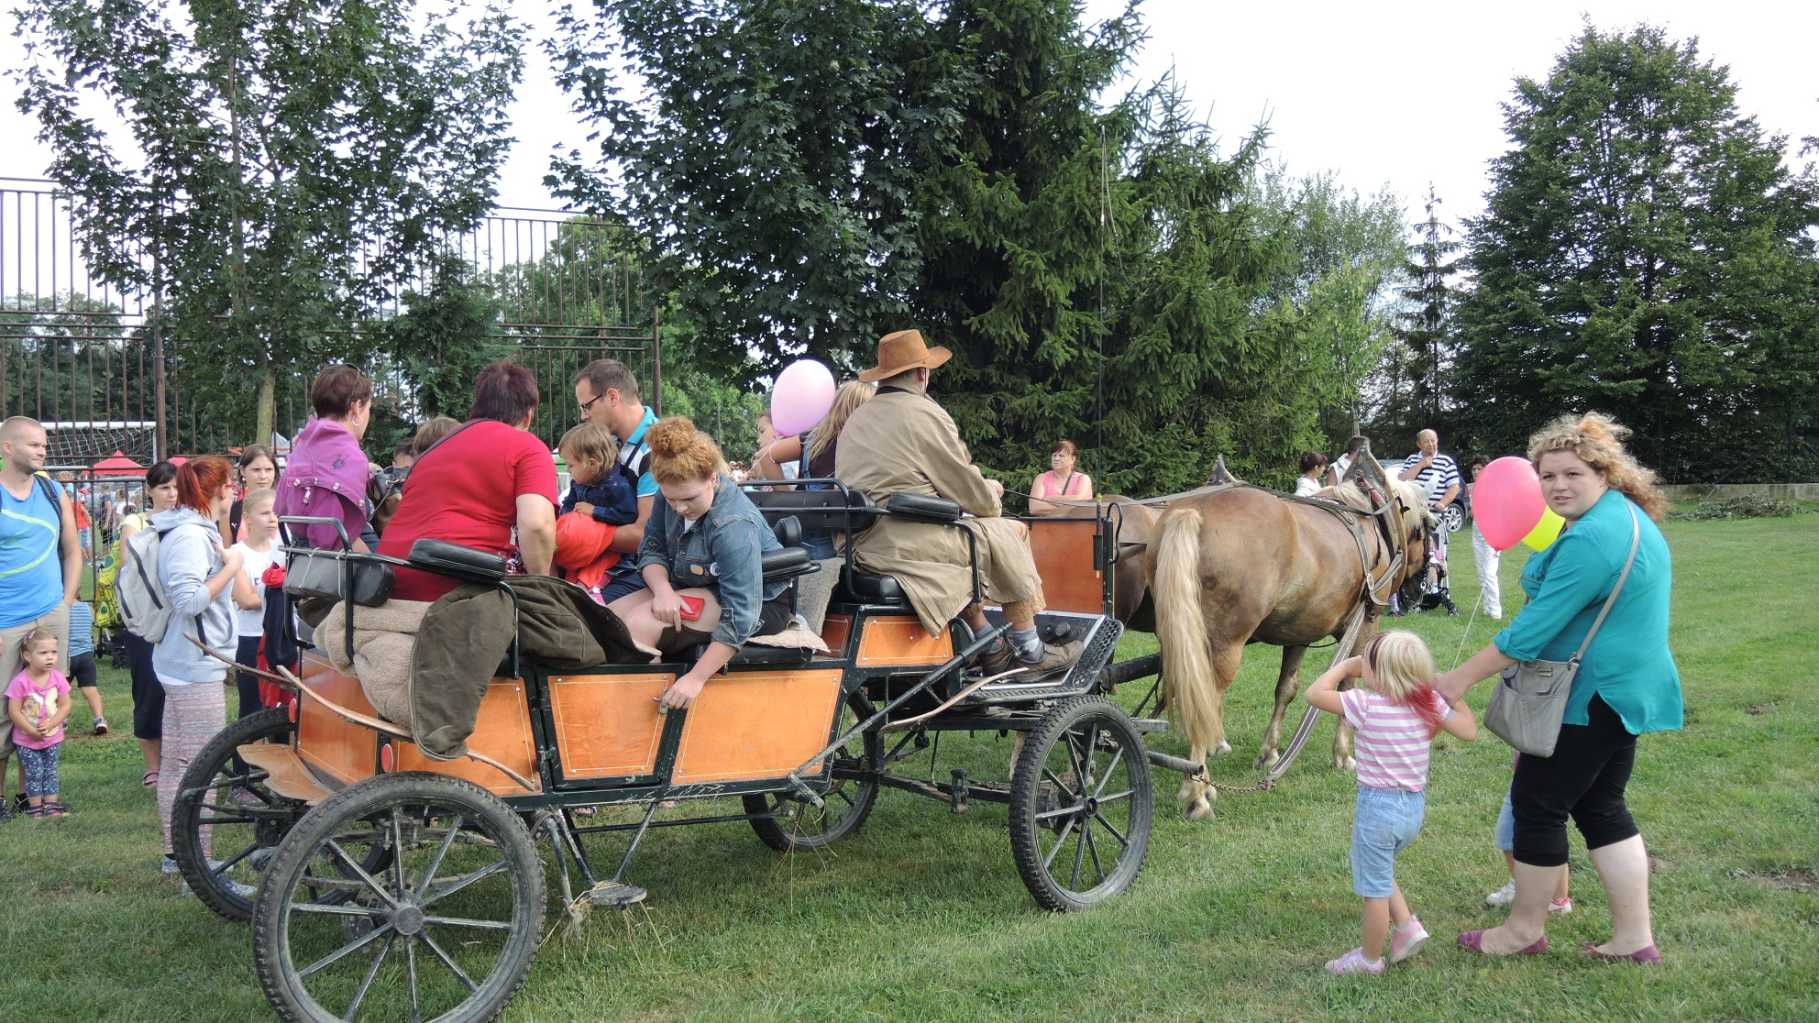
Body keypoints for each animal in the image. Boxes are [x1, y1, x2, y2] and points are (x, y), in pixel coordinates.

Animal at [1149, 473, 1433, 815]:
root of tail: (1194, 511)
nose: (1419, 590)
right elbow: (1347, 688)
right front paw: (1343, 755)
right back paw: (1198, 790)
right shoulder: (1364, 627)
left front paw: (1269, 752)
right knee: (1203, 701)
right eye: (1429, 528)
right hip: (1224, 646)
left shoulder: (1299, 633)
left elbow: (1286, 689)